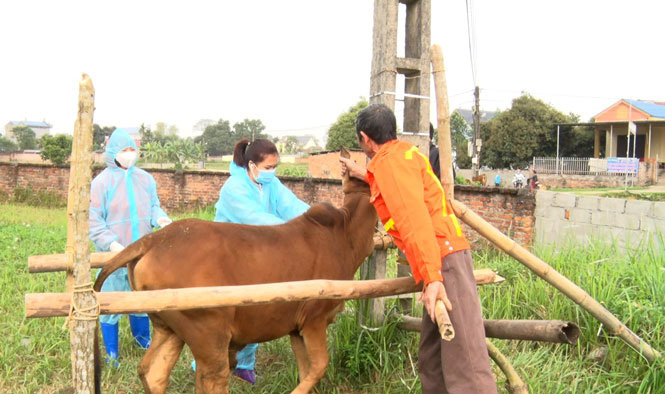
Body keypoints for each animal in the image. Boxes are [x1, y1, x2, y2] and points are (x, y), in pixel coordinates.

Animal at [92, 149, 378, 392]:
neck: (346, 235)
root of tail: (153, 240)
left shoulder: (295, 327)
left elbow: (307, 369)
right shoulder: (314, 320)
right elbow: (318, 367)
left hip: (169, 326)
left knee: (152, 371)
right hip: (208, 331)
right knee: (212, 378)